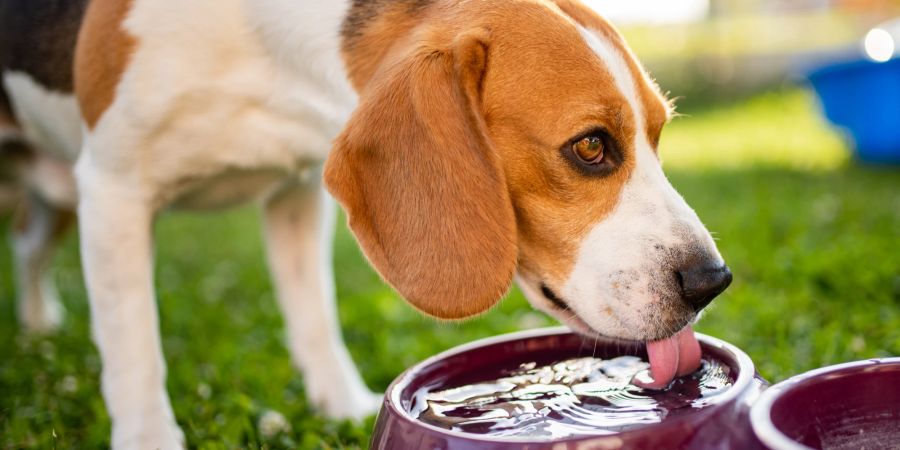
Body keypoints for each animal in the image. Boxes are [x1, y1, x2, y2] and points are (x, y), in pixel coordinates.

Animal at [1, 0, 732, 446]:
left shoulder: (296, 191)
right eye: (590, 147)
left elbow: (314, 315)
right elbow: (133, 348)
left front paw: (342, 406)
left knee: (30, 249)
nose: (711, 281)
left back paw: (37, 323)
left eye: (658, 134)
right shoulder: (115, 189)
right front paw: (149, 437)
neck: (263, 52)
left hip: (55, 196)